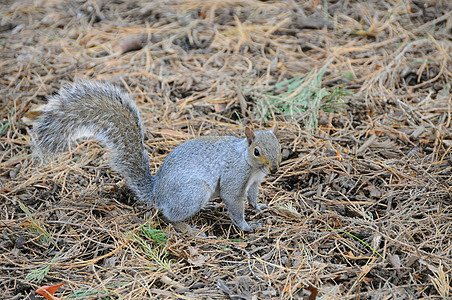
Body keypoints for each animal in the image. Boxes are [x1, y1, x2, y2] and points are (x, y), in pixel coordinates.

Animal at [33, 81, 280, 233]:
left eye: (280, 147)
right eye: (257, 151)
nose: (274, 169)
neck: (250, 164)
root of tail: (156, 194)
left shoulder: (254, 182)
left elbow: (252, 197)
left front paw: (260, 207)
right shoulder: (234, 177)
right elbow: (234, 202)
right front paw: (246, 226)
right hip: (193, 191)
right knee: (168, 216)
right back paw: (188, 228)